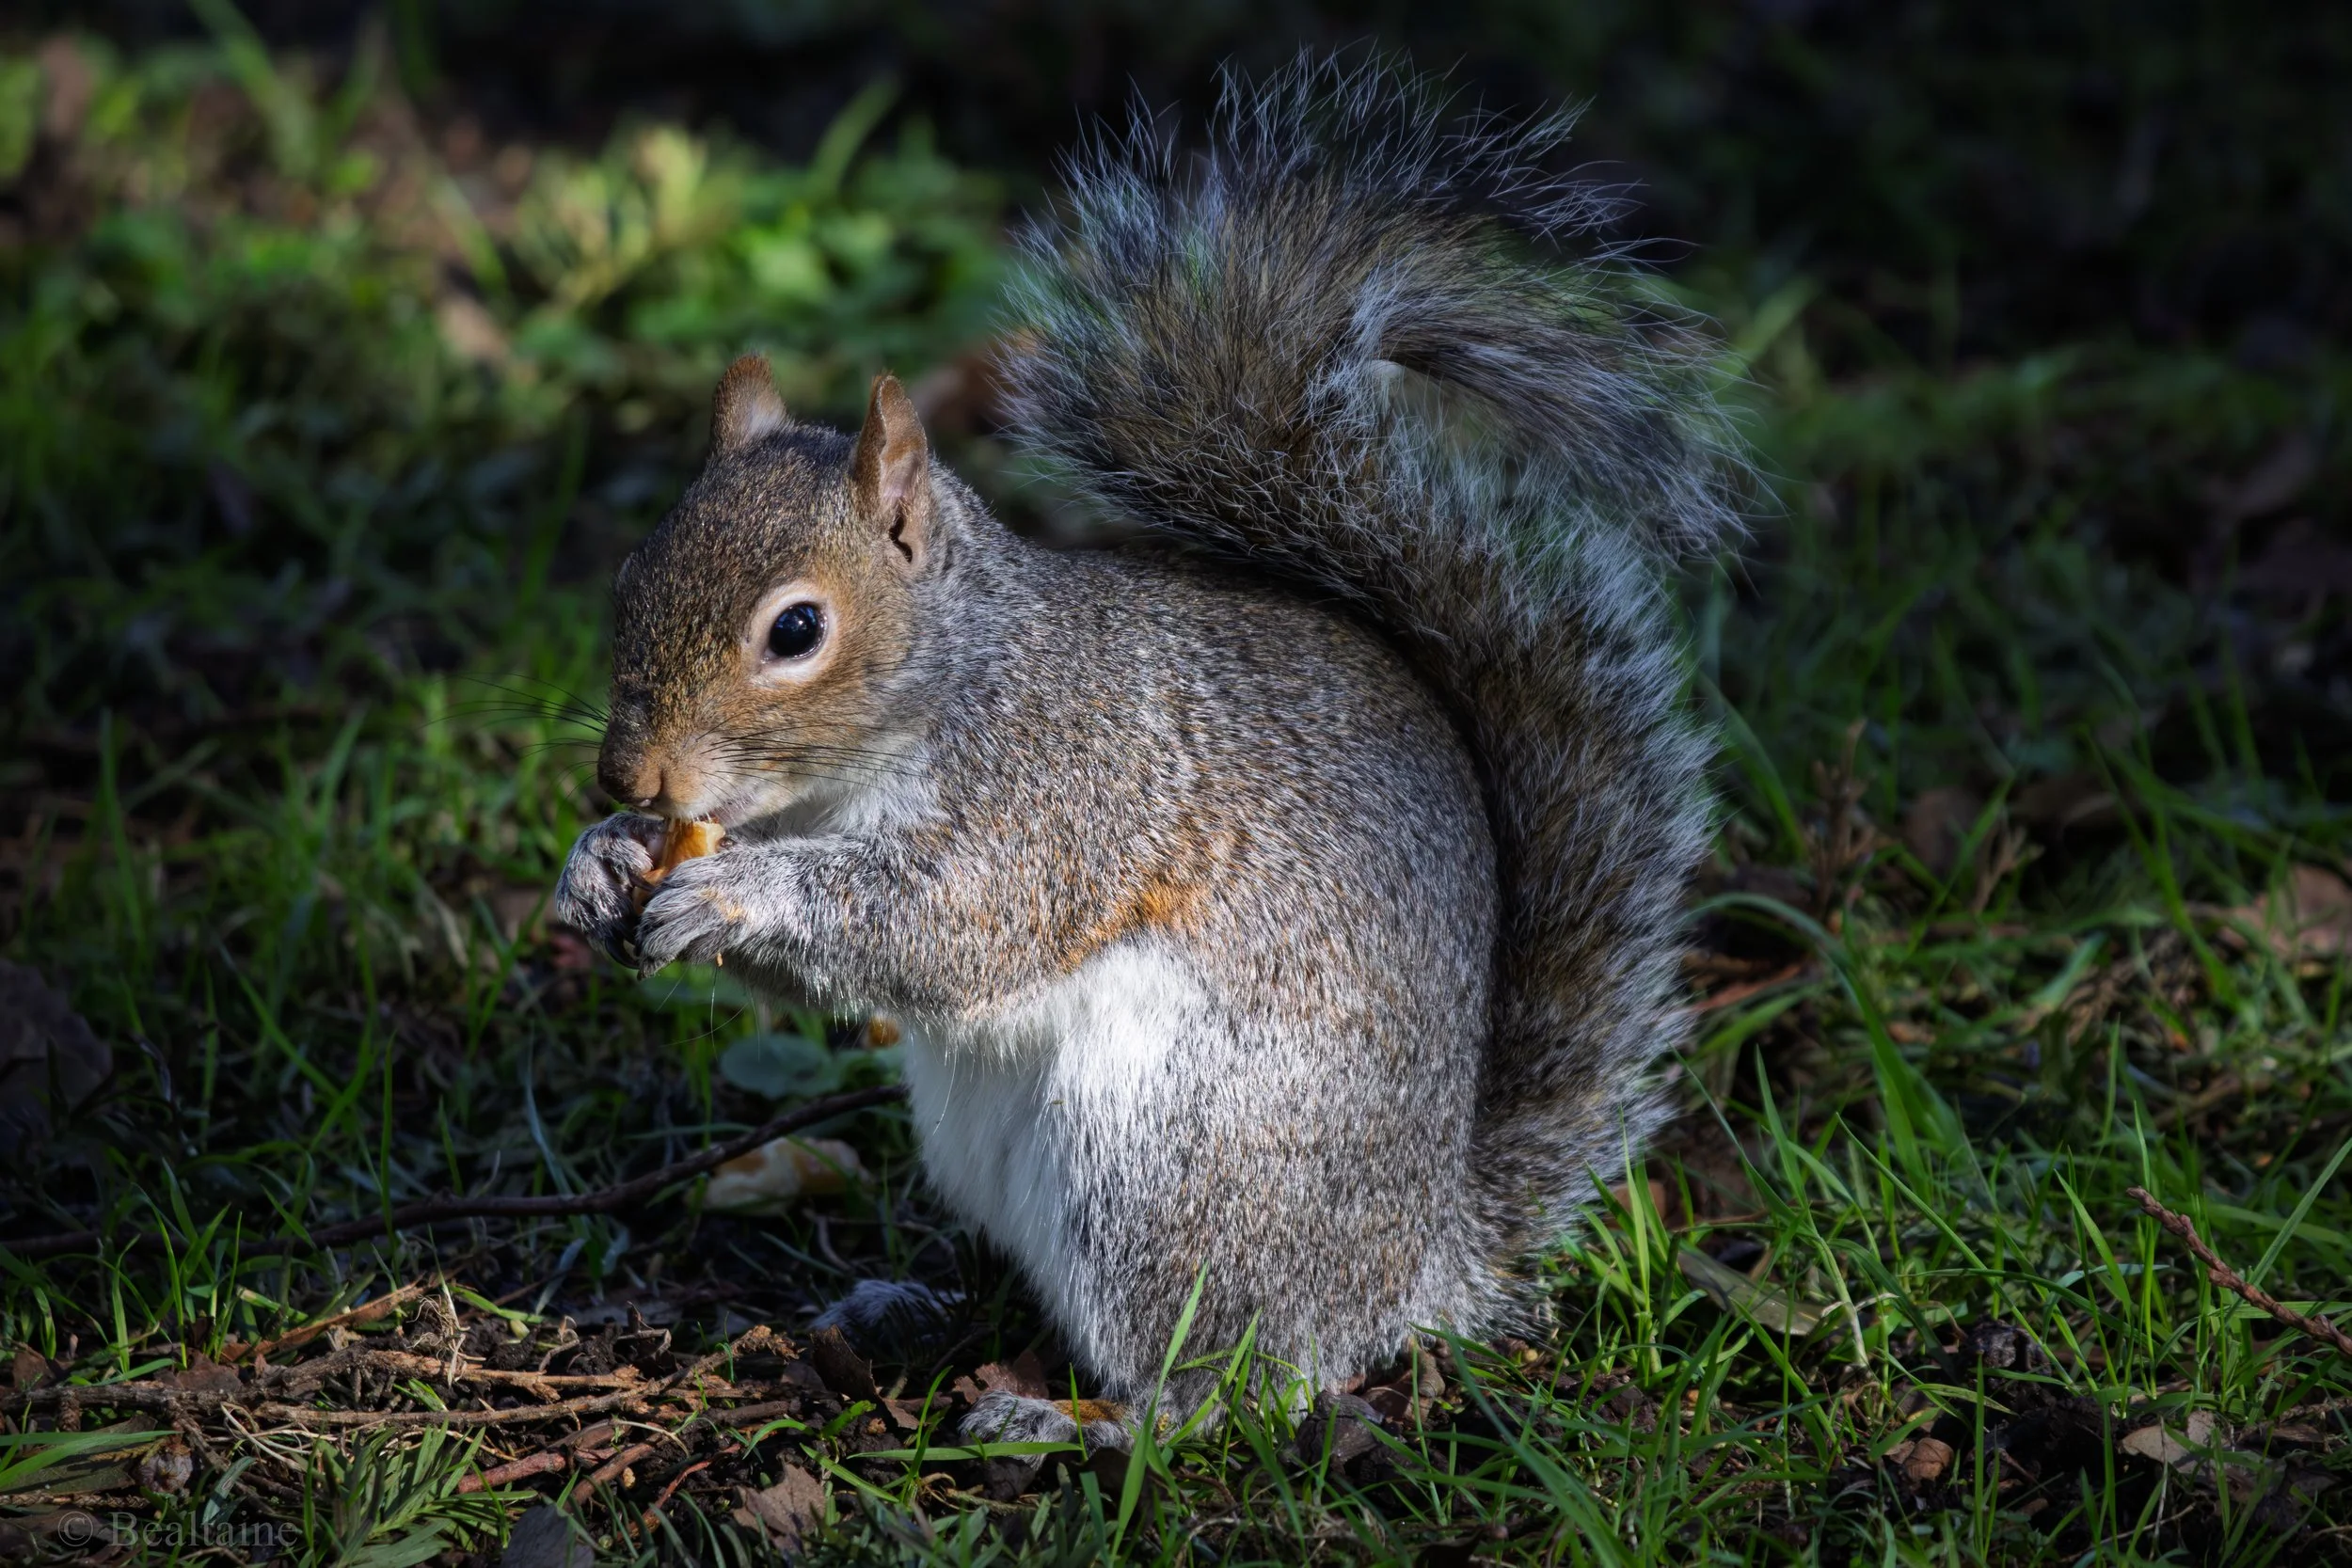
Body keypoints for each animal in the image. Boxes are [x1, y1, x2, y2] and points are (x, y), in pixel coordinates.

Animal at [554, 56, 1741, 1440]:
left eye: (796, 629)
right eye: (630, 575)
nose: (627, 777)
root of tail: (1418, 1265)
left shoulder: (1066, 792)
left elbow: (947, 922)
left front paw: (736, 890)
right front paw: (600, 858)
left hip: (1162, 1165)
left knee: (1237, 1383)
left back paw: (1083, 1421)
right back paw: (908, 1305)